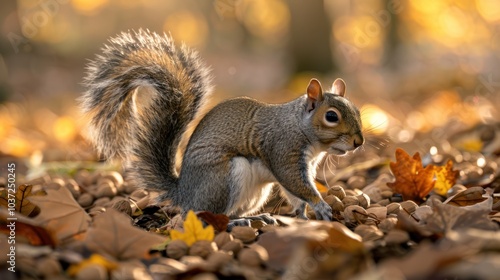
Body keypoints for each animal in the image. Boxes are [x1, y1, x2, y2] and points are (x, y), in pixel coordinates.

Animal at [81, 29, 364, 221]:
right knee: (214, 216)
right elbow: (297, 183)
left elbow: (295, 193)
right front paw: (320, 206)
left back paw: (257, 217)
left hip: (255, 193)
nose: (358, 142)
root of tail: (184, 193)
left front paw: (303, 215)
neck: (301, 127)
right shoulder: (284, 150)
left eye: (358, 111)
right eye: (331, 117)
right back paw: (238, 223)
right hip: (224, 178)